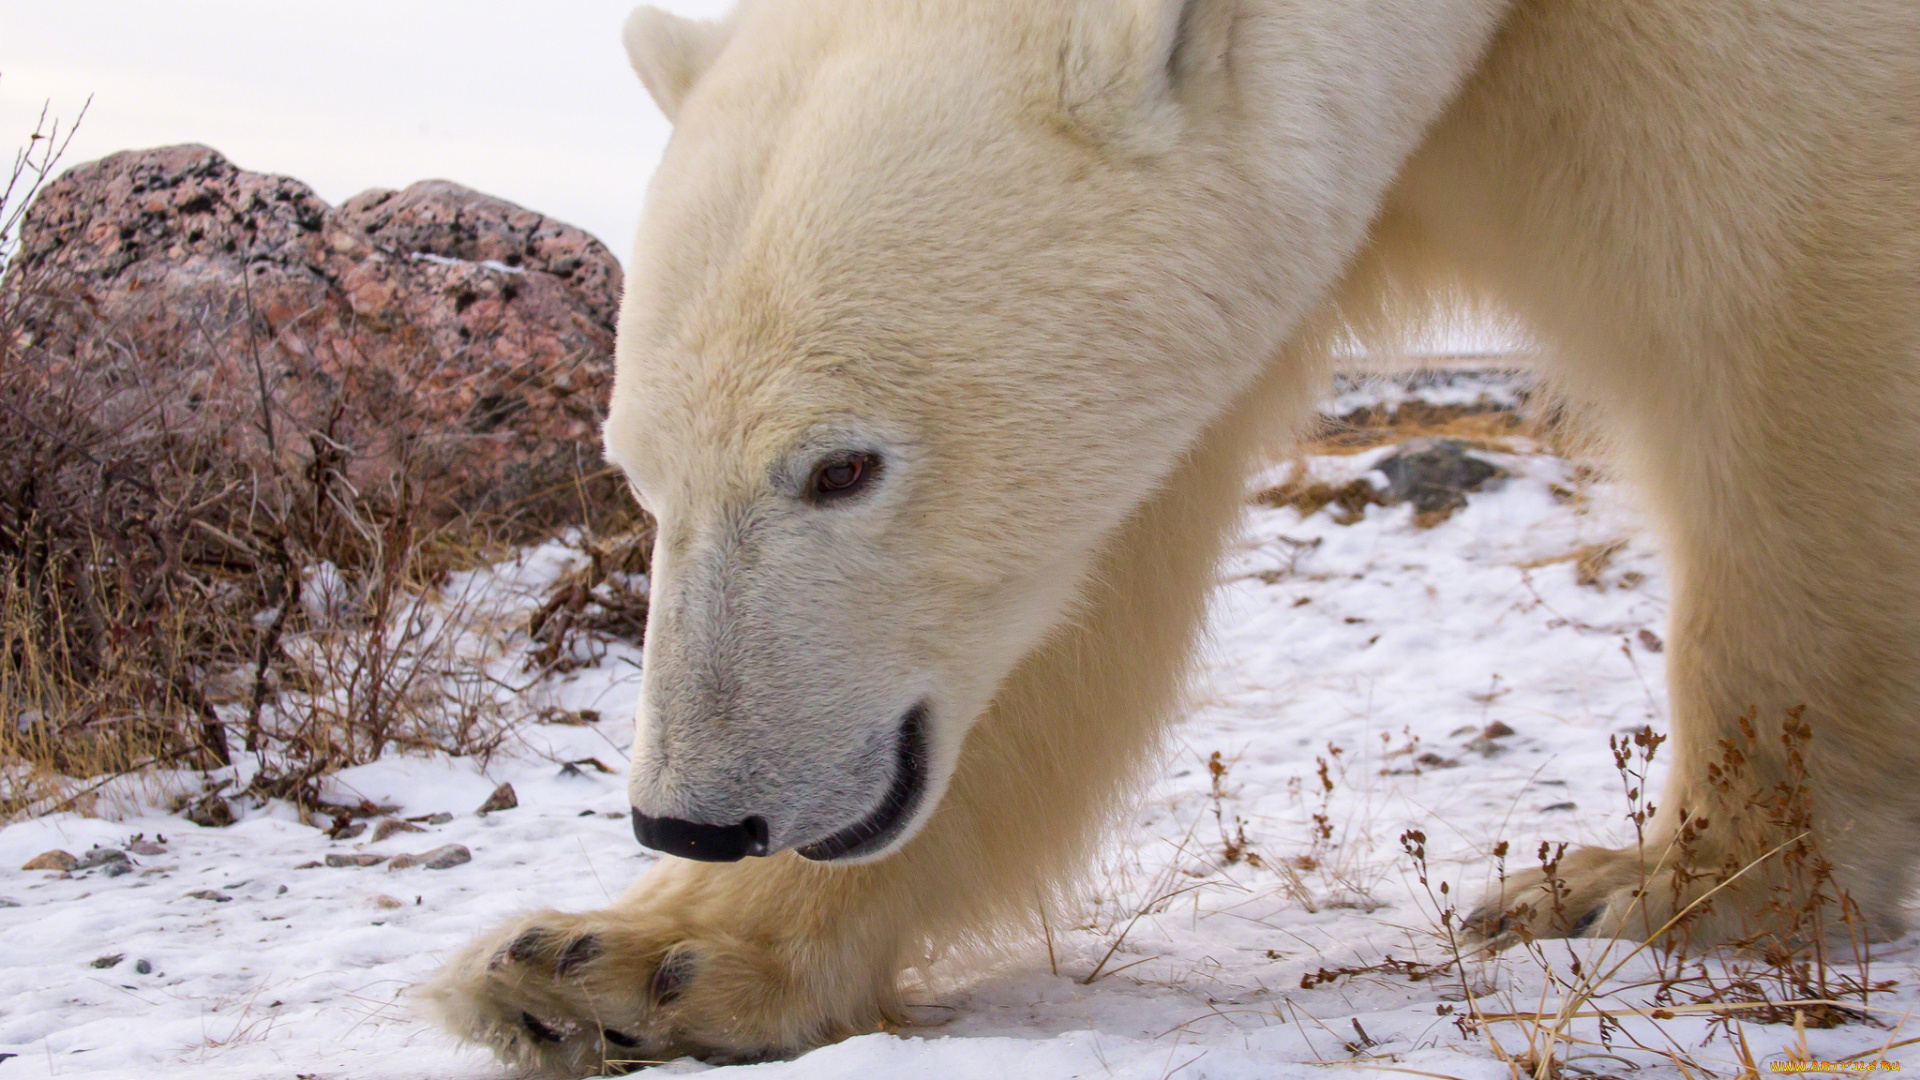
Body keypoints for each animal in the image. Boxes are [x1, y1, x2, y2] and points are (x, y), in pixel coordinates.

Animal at [432, 0, 1920, 1068]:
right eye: (635, 477)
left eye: (842, 468)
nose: (694, 821)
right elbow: (1079, 592)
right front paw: (616, 966)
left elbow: (1793, 352)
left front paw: (1677, 887)